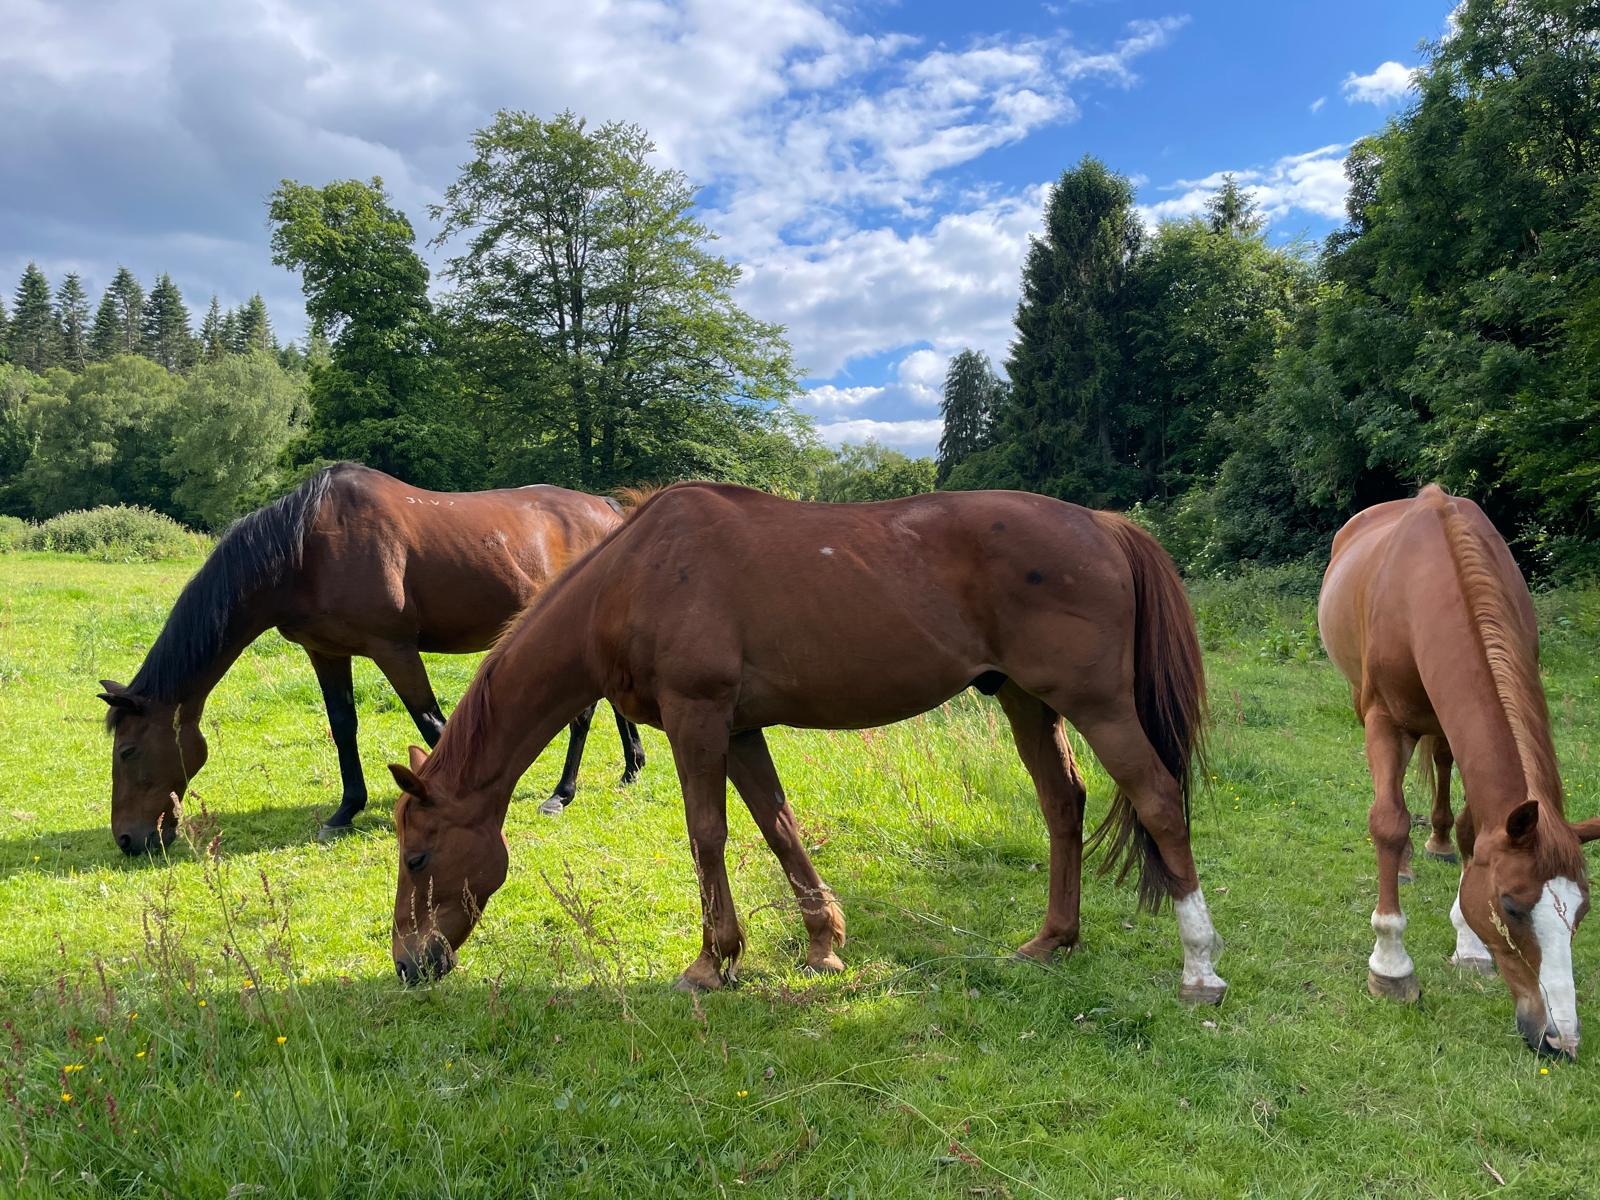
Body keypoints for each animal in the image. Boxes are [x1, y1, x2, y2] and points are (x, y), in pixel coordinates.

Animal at [98, 463, 646, 854]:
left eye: (127, 751)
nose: (127, 839)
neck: (305, 550)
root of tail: (609, 510)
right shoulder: (326, 651)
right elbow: (344, 727)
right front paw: (345, 811)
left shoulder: (394, 649)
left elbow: (432, 725)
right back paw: (631, 768)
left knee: (583, 715)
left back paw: (562, 793)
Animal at [384, 481, 1223, 1004]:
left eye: (418, 856)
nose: (408, 965)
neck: (632, 576)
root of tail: (1103, 524)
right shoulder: (740, 729)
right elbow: (778, 826)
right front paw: (823, 944)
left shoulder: (698, 718)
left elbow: (708, 834)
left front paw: (710, 962)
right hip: (1027, 702)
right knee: (1062, 803)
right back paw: (1052, 941)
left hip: (1098, 704)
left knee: (1158, 800)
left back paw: (1199, 970)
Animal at [1318, 484, 1599, 1058]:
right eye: (1511, 907)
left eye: (1581, 912)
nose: (1560, 1039)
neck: (1429, 581)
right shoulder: (1383, 719)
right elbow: (1387, 820)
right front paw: (1391, 967)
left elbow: (1475, 828)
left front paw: (1470, 947)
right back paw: (1405, 862)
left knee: (1443, 767)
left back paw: (1438, 843)